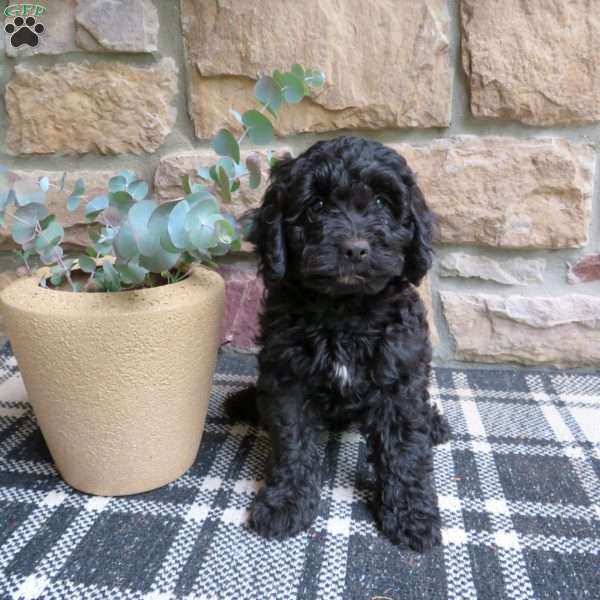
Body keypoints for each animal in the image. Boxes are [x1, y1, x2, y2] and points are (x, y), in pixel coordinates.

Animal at [226, 134, 450, 552]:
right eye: (316, 206)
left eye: (382, 203)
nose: (355, 248)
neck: (345, 310)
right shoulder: (287, 378)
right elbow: (294, 442)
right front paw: (286, 503)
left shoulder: (399, 379)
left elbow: (405, 449)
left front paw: (412, 515)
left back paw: (435, 424)